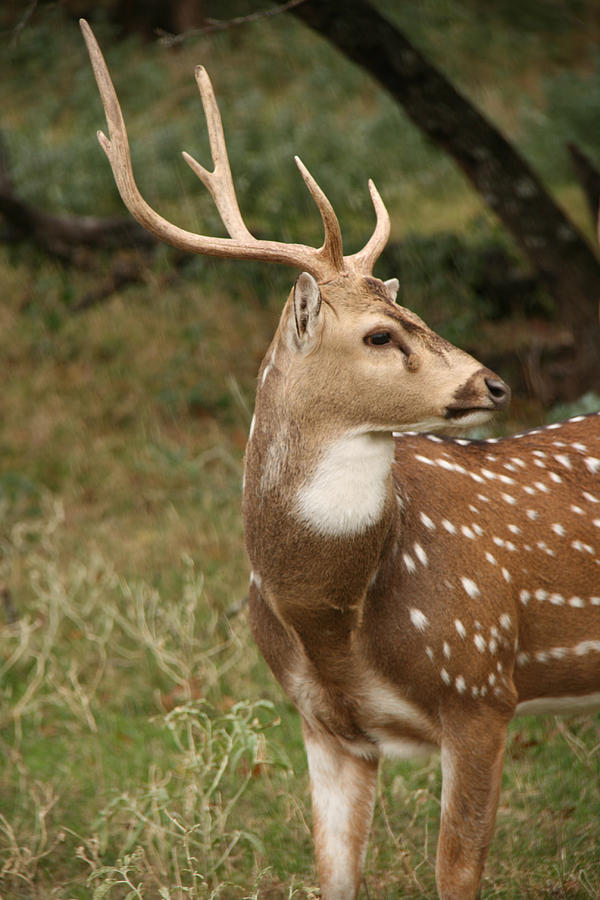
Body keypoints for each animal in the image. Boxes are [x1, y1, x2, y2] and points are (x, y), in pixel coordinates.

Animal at [81, 19, 600, 900]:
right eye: (382, 333)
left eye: (412, 312)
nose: (492, 382)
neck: (335, 620)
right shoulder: (323, 725)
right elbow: (333, 873)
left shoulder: (481, 684)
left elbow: (456, 871)